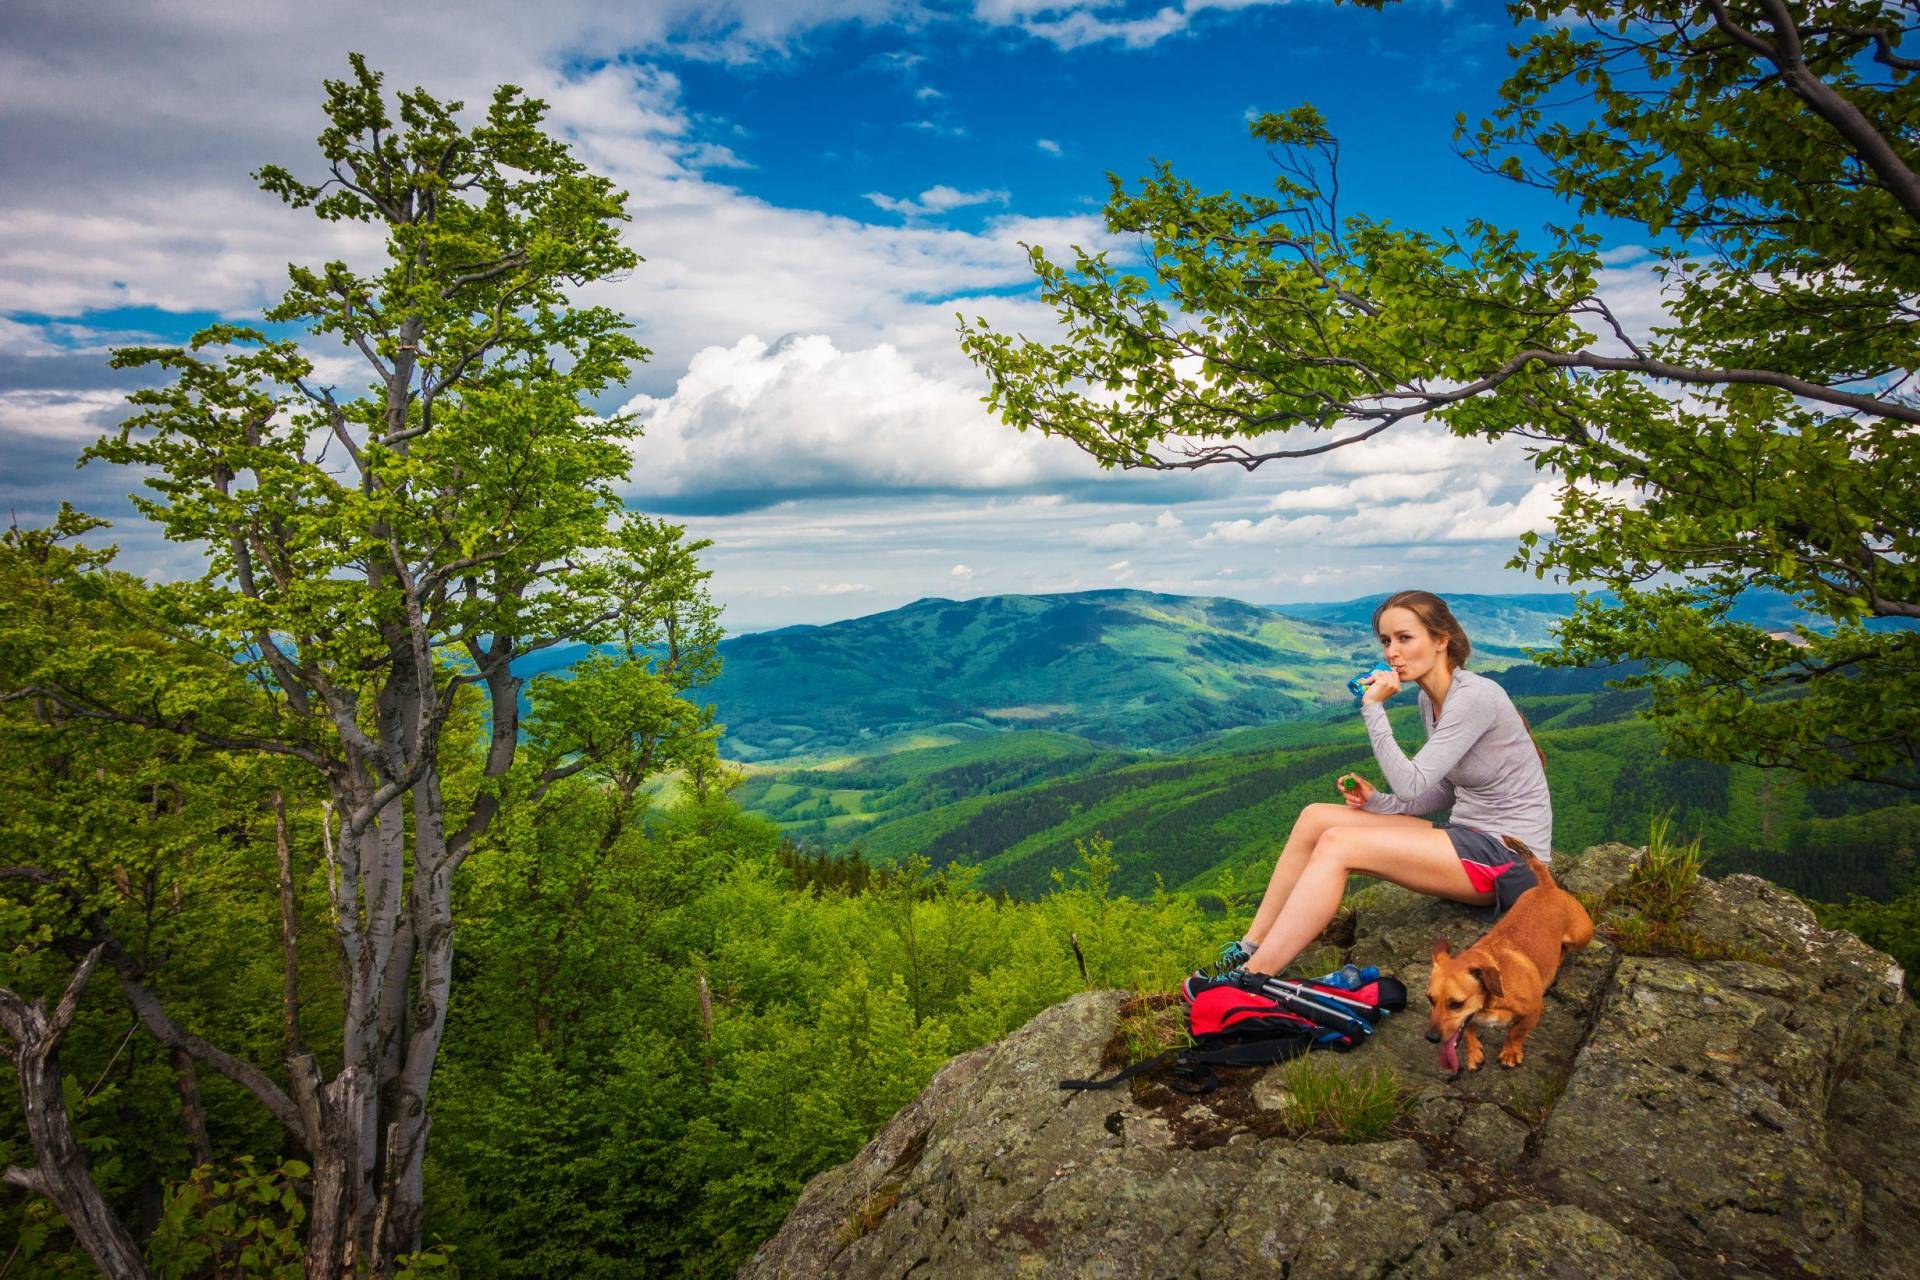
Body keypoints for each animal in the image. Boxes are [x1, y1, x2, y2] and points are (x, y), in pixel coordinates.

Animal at [1428, 836, 1589, 1074]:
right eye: (1430, 1000)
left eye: (1456, 1004)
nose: (1430, 1037)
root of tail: (1547, 887)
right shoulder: (1469, 1019)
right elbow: (1468, 1031)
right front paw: (1474, 1053)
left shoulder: (1531, 1014)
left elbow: (1516, 1033)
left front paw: (1511, 1053)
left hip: (1582, 935)